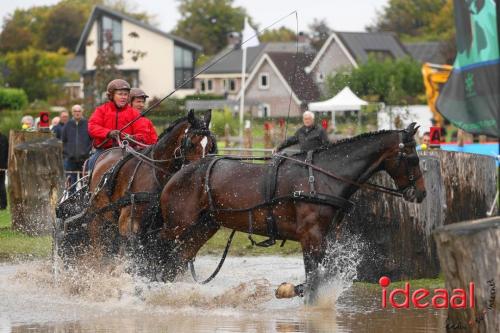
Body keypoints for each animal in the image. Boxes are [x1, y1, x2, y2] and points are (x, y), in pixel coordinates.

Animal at [80, 110, 215, 272]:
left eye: (210, 146)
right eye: (191, 143)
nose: (200, 172)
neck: (156, 174)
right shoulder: (129, 223)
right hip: (98, 216)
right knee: (98, 245)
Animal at [160, 121, 426, 300]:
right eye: (412, 158)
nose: (421, 193)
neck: (321, 177)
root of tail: (179, 174)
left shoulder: (325, 238)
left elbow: (319, 278)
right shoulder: (311, 238)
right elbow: (313, 281)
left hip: (204, 227)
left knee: (179, 260)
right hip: (178, 227)